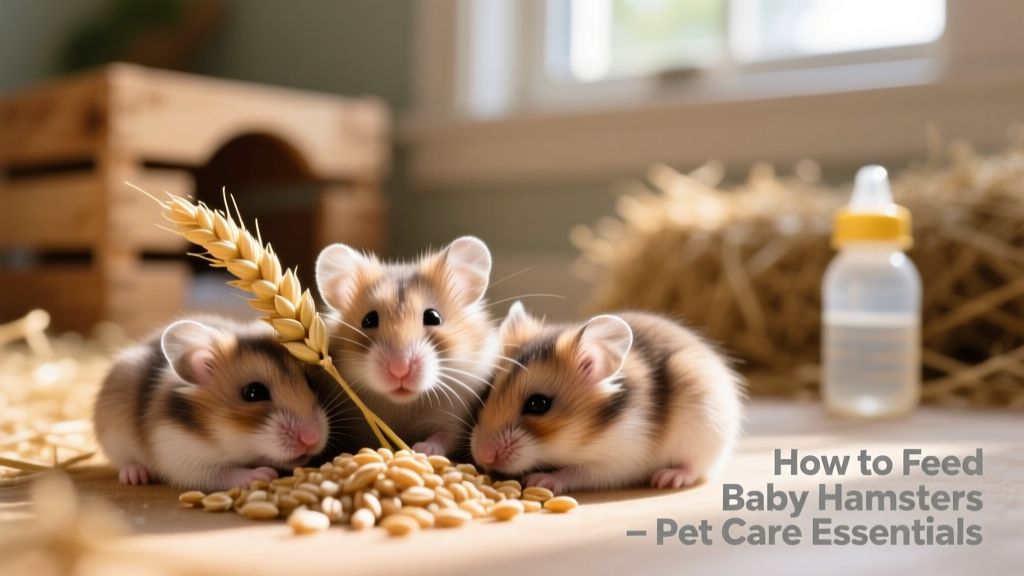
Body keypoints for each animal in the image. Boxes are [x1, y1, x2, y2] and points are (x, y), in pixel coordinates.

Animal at [93, 316, 330, 492]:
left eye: (310, 382)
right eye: (253, 393)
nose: (312, 438)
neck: (221, 437)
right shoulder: (181, 456)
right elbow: (222, 473)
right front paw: (265, 474)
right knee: (125, 462)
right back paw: (136, 476)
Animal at [315, 237, 499, 457]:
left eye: (433, 317)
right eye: (368, 320)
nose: (399, 369)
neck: (404, 404)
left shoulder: (454, 415)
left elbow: (444, 436)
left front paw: (421, 450)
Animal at [471, 302, 743, 494]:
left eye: (538, 404)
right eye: (487, 392)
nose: (483, 456)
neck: (589, 436)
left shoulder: (621, 458)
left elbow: (578, 472)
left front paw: (539, 479)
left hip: (706, 431)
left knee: (696, 466)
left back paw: (667, 478)